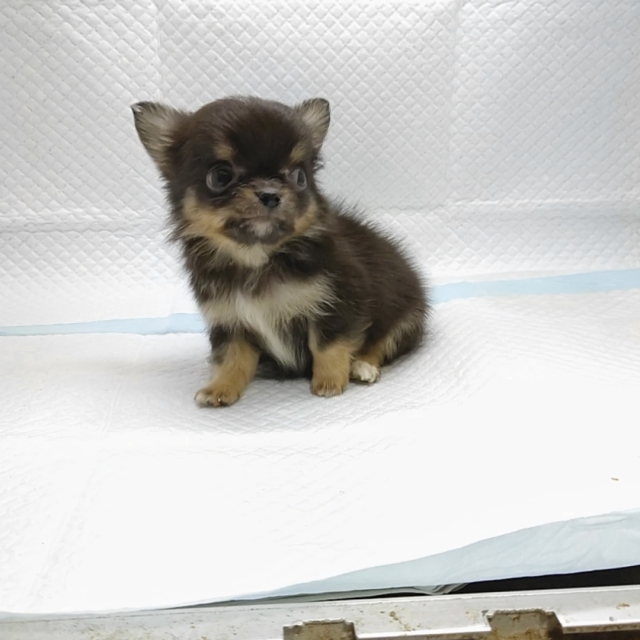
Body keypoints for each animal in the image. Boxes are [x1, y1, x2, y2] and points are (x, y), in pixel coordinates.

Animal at [132, 96, 428, 407]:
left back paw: (363, 365)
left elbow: (328, 344)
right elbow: (232, 358)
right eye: (221, 176)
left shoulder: (339, 302)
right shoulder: (230, 319)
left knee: (384, 343)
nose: (271, 194)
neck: (256, 258)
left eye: (299, 177)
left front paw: (330, 381)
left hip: (407, 316)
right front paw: (220, 387)